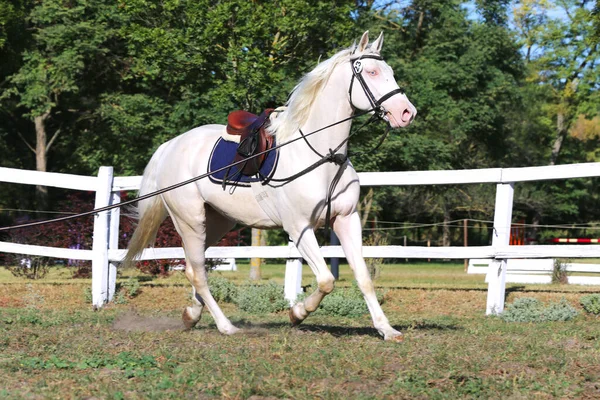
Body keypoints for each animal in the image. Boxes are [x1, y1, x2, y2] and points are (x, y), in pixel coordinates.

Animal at [125, 32, 418, 342]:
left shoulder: (346, 220)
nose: (406, 112)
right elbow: (326, 280)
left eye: (390, 71)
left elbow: (364, 278)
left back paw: (192, 314)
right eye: (372, 72)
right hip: (189, 221)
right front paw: (297, 313)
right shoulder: (299, 228)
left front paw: (386, 329)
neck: (322, 155)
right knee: (198, 274)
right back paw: (226, 326)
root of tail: (170, 146)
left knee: (195, 267)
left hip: (216, 223)